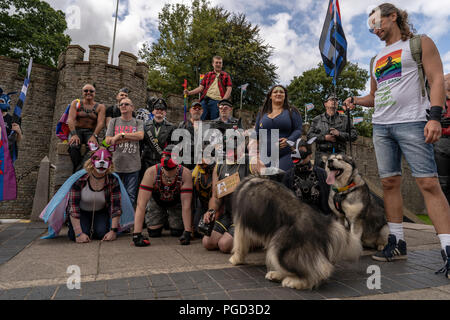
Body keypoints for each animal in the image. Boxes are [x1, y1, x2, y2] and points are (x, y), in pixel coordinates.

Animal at [229, 176, 362, 292]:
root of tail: (320, 223)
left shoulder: (240, 224)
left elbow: (239, 244)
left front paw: (235, 259)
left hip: (279, 246)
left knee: (317, 272)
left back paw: (293, 282)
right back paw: (277, 274)